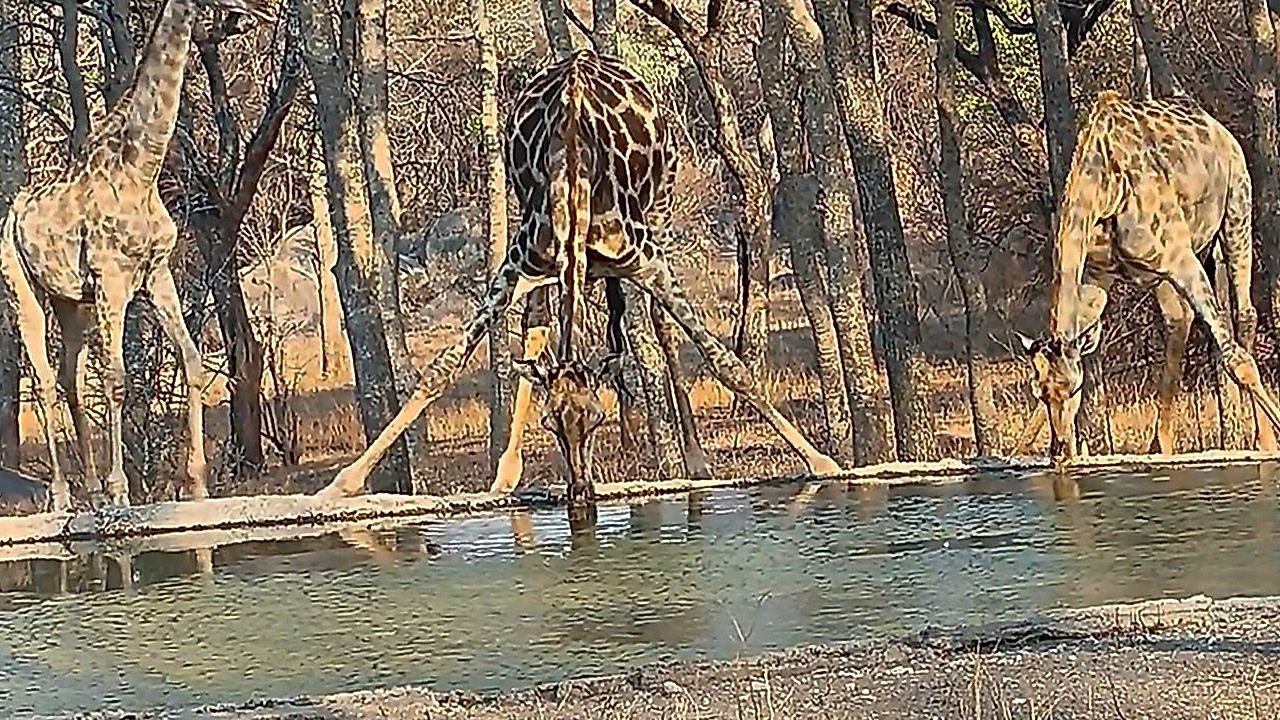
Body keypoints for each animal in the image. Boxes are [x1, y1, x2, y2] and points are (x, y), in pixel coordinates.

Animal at [0, 0, 273, 511]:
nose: (262, 11)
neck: (141, 168)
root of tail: (13, 213)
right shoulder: (112, 278)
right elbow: (116, 379)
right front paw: (120, 491)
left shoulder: (155, 272)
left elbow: (191, 360)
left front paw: (197, 483)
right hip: (22, 289)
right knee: (44, 379)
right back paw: (63, 495)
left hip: (72, 302)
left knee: (68, 376)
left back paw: (86, 488)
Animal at [316, 50, 841, 500]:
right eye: (551, 422)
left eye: (596, 418)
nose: (581, 493)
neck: (574, 179)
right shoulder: (518, 265)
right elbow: (442, 370)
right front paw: (340, 484)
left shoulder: (646, 259)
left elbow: (727, 363)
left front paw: (823, 463)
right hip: (547, 267)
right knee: (539, 328)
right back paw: (506, 474)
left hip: (661, 210)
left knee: (660, 327)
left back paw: (695, 460)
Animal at [1016, 89, 1280, 462]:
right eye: (1038, 392)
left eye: (1075, 388)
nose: (1061, 452)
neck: (1103, 190)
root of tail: (1219, 129)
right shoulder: (1096, 275)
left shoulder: (1179, 255)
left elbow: (1235, 359)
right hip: (1179, 261)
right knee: (1179, 319)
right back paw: (1161, 445)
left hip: (1236, 208)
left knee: (1243, 315)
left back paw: (1264, 441)